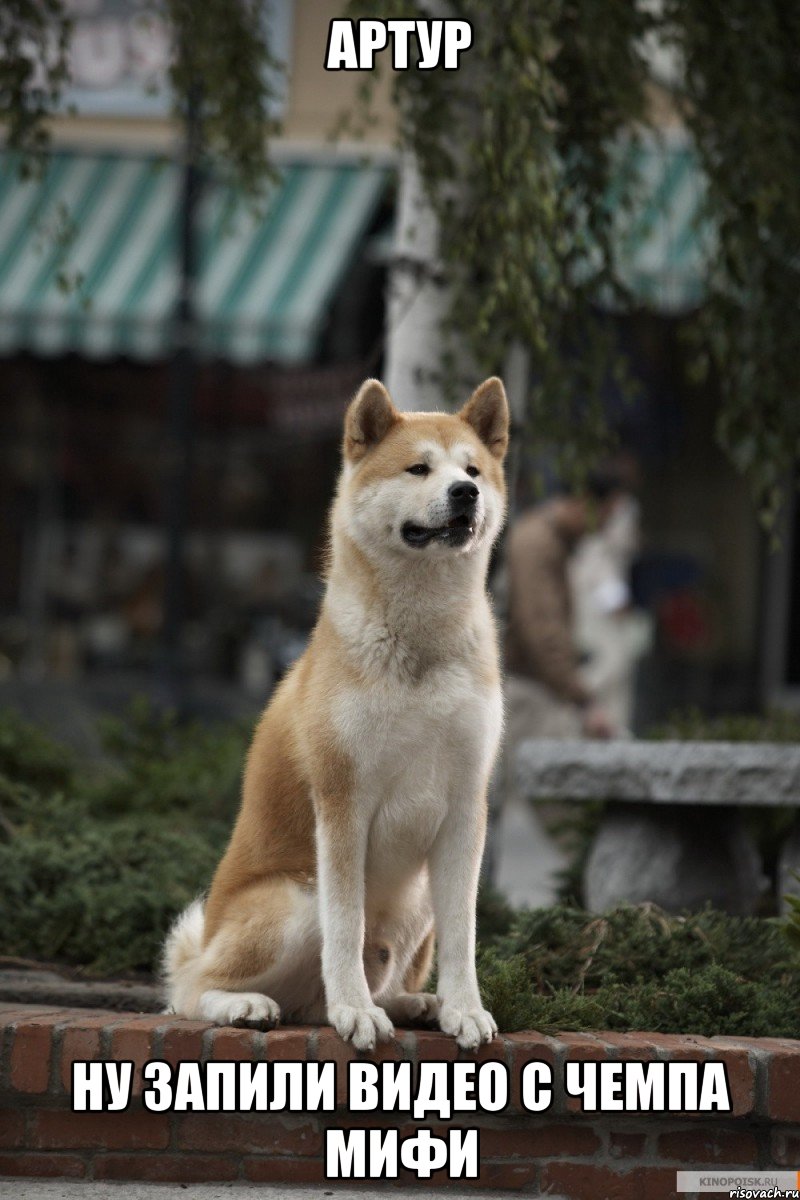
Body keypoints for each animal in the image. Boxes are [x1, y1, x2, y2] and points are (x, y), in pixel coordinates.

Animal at [165, 376, 510, 1051]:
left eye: (473, 470)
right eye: (418, 468)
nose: (466, 493)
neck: (420, 644)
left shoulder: (466, 806)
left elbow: (464, 934)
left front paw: (464, 1009)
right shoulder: (343, 801)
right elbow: (346, 928)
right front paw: (355, 1011)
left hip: (417, 900)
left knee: (362, 984)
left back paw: (415, 1003)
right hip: (296, 900)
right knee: (189, 990)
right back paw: (250, 1005)